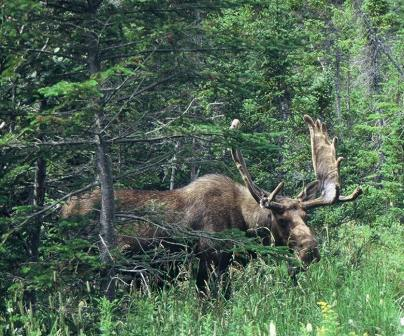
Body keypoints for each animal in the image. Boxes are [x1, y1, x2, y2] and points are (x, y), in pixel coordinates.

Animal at [61, 115, 362, 294]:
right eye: (281, 219)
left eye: (307, 217)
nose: (310, 250)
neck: (243, 225)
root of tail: (62, 210)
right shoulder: (209, 260)